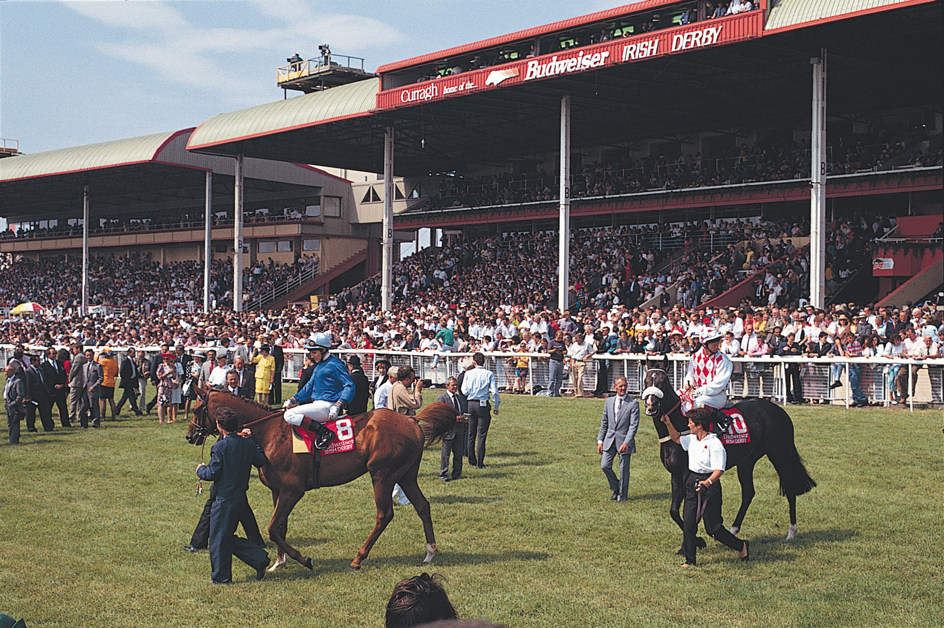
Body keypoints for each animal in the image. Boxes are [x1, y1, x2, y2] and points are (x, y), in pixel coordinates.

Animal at [185, 388, 458, 568]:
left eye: (197, 409)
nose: (190, 436)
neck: (268, 433)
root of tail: (411, 419)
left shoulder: (293, 490)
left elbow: (273, 528)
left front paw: (303, 559)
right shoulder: (278, 490)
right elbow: (280, 527)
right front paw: (279, 562)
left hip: (383, 474)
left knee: (385, 514)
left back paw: (358, 558)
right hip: (406, 474)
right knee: (422, 506)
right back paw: (430, 552)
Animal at [640, 370, 820, 544]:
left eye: (663, 382)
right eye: (646, 381)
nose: (651, 405)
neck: (679, 425)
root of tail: (779, 410)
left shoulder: (686, 473)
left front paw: (696, 540)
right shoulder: (675, 474)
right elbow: (673, 511)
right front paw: (698, 539)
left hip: (780, 453)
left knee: (790, 487)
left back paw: (791, 531)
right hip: (747, 461)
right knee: (748, 492)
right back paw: (734, 529)